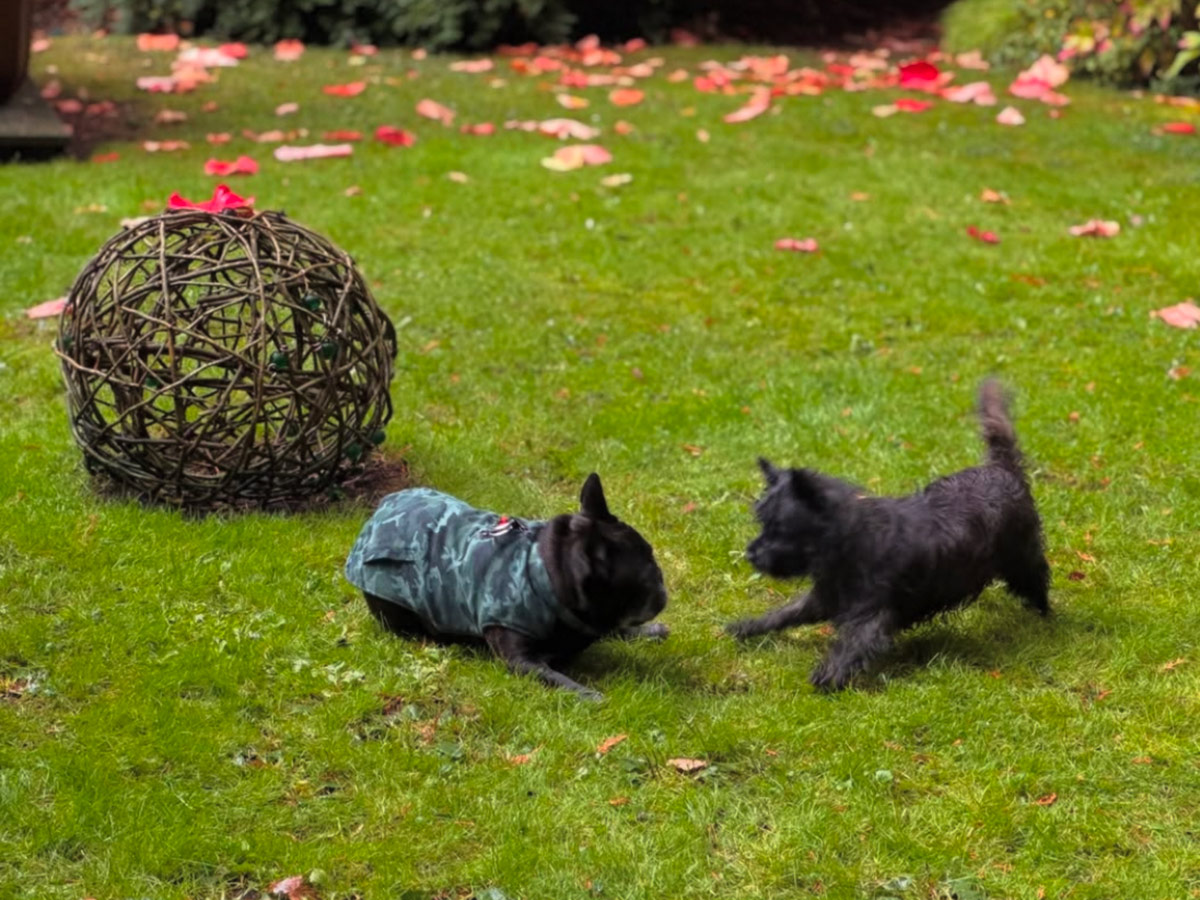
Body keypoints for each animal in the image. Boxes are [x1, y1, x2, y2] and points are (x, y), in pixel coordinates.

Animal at [345, 475, 667, 700]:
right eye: (647, 574)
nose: (663, 587)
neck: (548, 574)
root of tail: (378, 514)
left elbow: (614, 628)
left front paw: (645, 632)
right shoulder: (520, 660)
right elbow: (556, 677)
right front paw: (588, 694)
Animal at [724, 381, 1046, 691]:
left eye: (780, 527)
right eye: (762, 522)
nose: (750, 553)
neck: (848, 540)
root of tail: (1001, 468)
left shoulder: (873, 615)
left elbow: (853, 644)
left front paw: (832, 672)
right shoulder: (824, 597)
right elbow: (785, 613)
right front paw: (749, 626)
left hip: (1023, 559)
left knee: (1038, 581)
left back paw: (1044, 617)